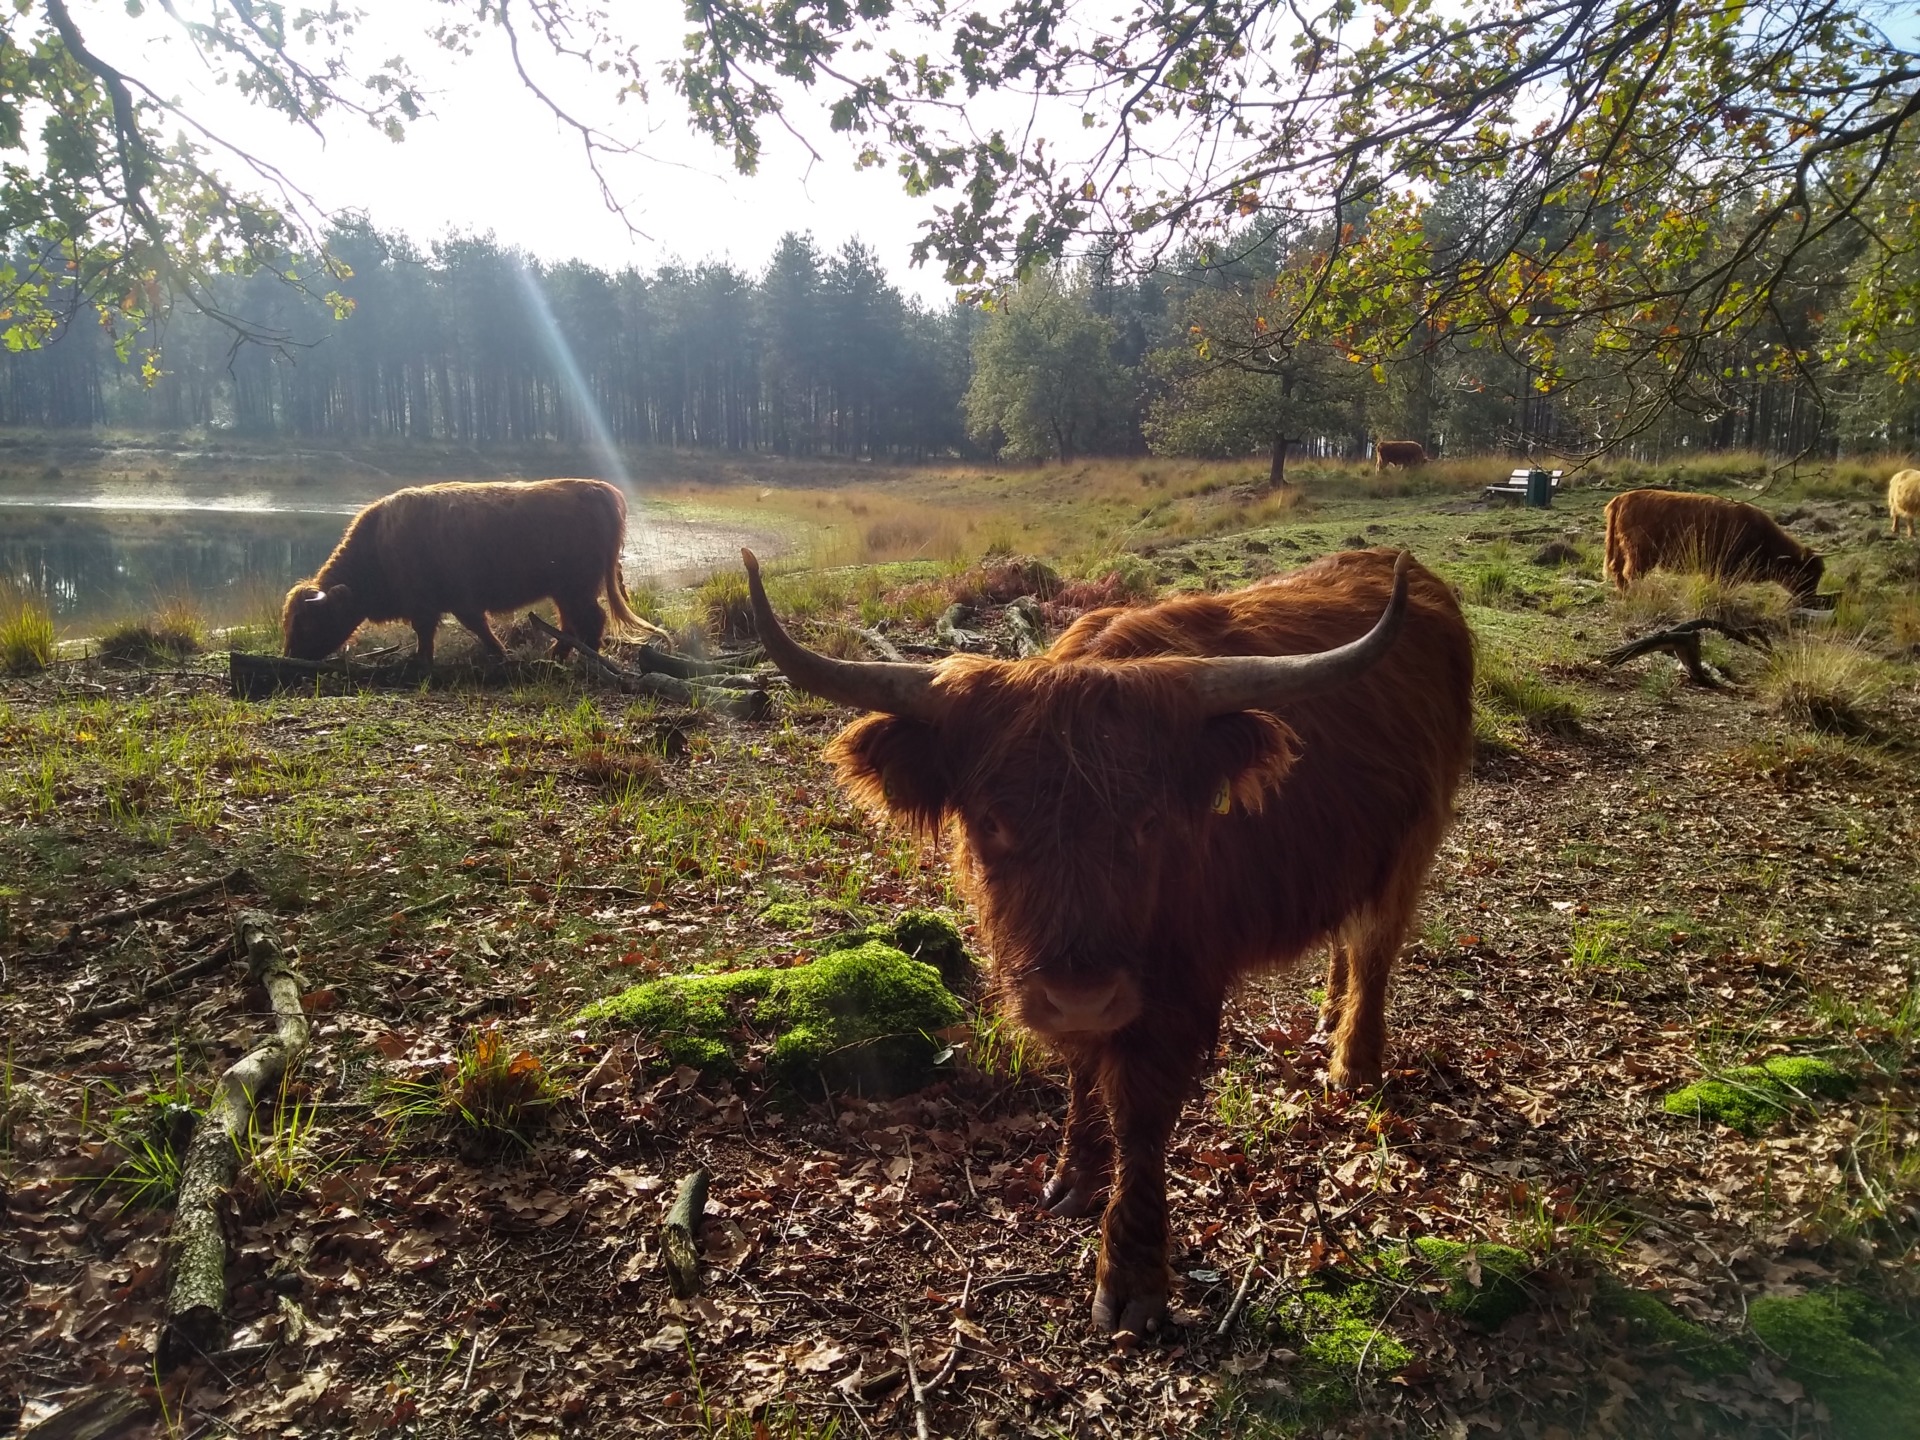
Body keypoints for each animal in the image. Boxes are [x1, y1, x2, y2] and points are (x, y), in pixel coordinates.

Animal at [737, 545, 1466, 1336]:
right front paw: (1074, 1175)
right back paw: (1329, 1017)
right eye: (991, 821)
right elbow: (1083, 1072)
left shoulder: (1177, 988)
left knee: (1374, 945)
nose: (1080, 993)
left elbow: (1140, 1118)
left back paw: (1351, 1062)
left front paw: (1132, 1274)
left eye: (1148, 822)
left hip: (1411, 844)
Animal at [1597, 491, 1820, 602]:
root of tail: (1621, 498)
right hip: (1641, 553)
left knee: (1617, 571)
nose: (1810, 598)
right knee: (1629, 574)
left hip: (1622, 549)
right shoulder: (1725, 570)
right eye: (1806, 574)